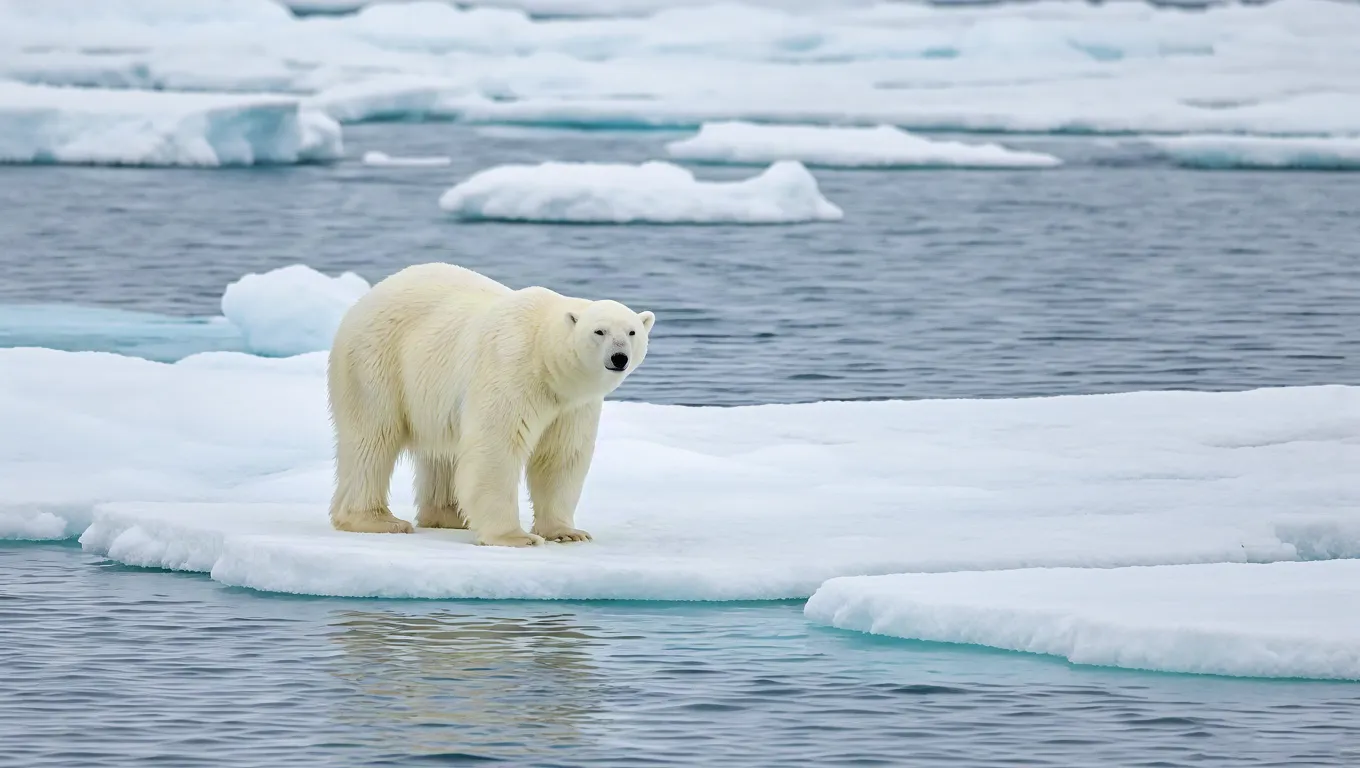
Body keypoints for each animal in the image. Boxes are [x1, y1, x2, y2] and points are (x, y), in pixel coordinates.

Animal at [325, 262, 654, 547]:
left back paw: (450, 515)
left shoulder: (572, 405)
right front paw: (515, 537)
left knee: (443, 452)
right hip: (376, 362)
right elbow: (497, 446)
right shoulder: (512, 371)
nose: (619, 357)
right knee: (372, 438)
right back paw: (377, 520)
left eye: (631, 332)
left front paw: (566, 532)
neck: (545, 361)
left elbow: (560, 455)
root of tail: (366, 298)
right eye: (599, 331)